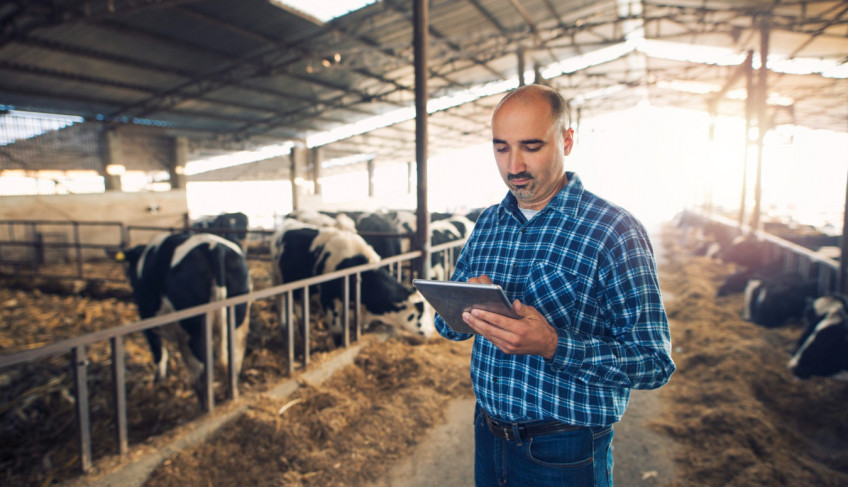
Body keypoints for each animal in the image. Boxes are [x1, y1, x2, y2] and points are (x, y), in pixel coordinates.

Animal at [116, 234, 250, 408]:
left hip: (192, 333)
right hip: (238, 323)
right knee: (234, 359)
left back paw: (203, 406)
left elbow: (158, 352)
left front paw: (159, 380)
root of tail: (214, 247)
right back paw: (230, 395)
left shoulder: (146, 320)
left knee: (201, 372)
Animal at [272, 220, 434, 340]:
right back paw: (285, 324)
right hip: (278, 278)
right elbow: (338, 333)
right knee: (282, 301)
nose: (431, 331)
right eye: (420, 314)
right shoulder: (328, 299)